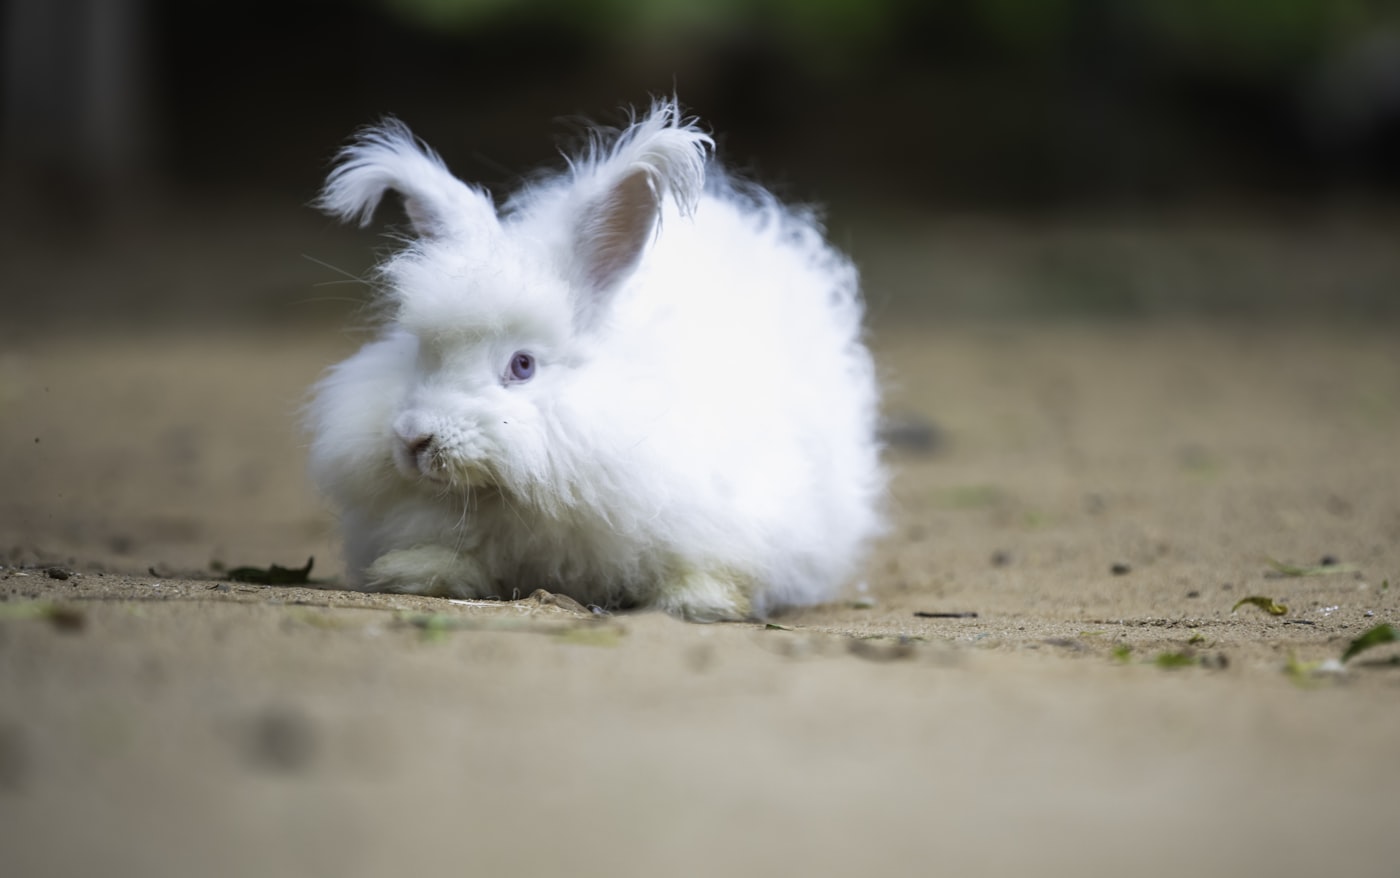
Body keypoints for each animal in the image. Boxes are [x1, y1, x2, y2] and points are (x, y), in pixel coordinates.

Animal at [306, 99, 884, 621]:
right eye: (422, 353)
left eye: (522, 365)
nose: (413, 439)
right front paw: (416, 573)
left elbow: (708, 568)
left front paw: (699, 602)